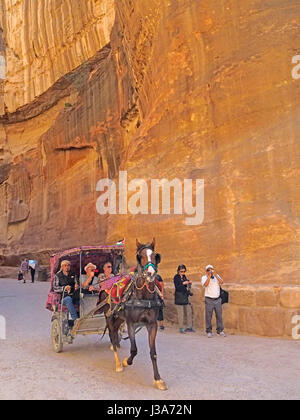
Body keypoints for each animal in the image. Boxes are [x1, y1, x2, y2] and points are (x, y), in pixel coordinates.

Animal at [99, 240, 168, 390]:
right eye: (140, 256)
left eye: (155, 256)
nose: (150, 273)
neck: (143, 296)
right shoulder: (131, 323)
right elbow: (134, 350)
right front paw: (126, 361)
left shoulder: (152, 325)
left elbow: (153, 353)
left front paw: (158, 379)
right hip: (110, 316)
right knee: (112, 335)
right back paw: (118, 363)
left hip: (119, 318)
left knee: (114, 334)